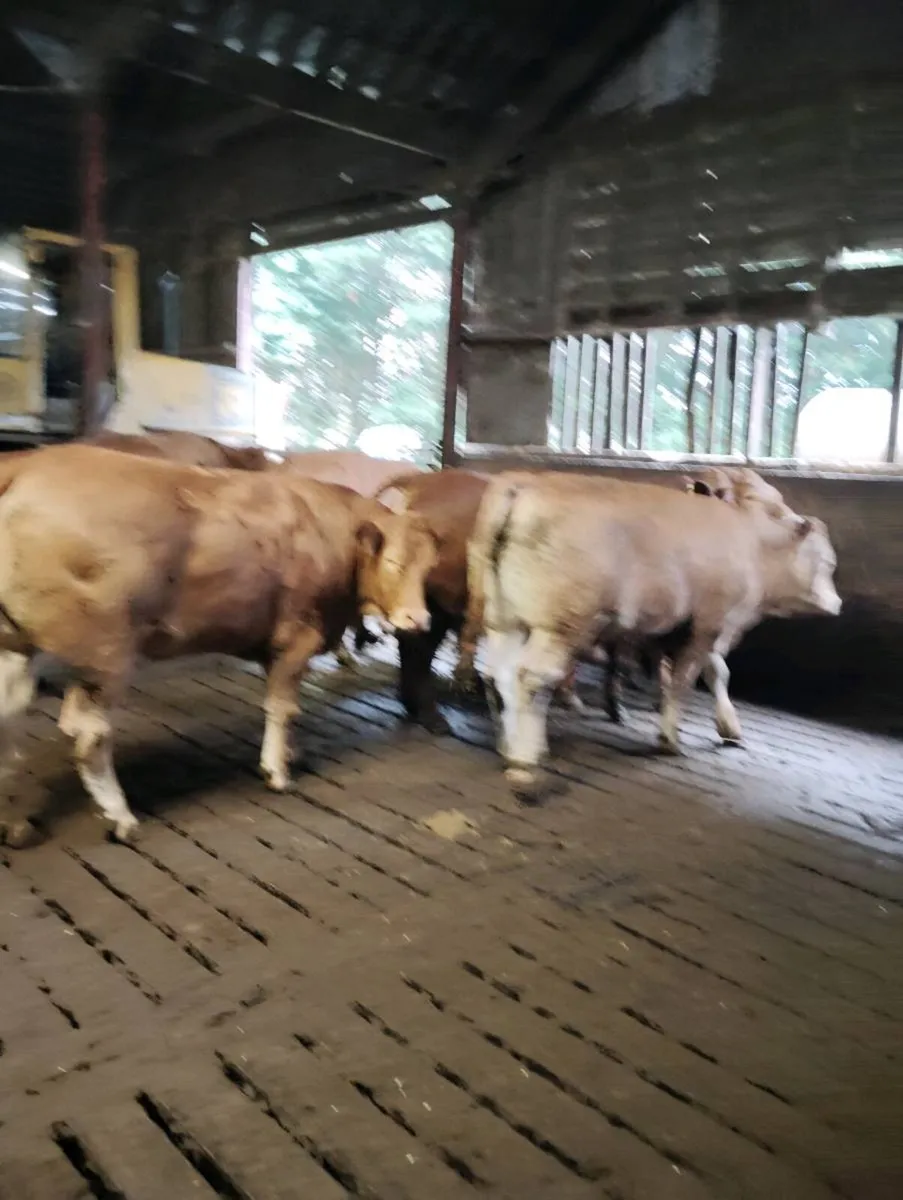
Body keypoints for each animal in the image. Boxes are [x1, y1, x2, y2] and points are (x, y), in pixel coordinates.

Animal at [0, 444, 438, 847]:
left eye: (427, 568)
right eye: (394, 563)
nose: (419, 620)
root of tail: (29, 464)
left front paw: (288, 754)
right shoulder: (297, 637)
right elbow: (282, 708)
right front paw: (277, 771)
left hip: (17, 644)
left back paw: (15, 825)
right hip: (106, 653)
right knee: (89, 733)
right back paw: (120, 816)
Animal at [468, 469, 841, 797]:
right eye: (828, 564)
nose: (837, 603)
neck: (753, 545)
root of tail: (522, 488)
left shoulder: (686, 628)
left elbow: (715, 672)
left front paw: (729, 727)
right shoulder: (709, 624)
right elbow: (684, 680)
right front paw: (670, 739)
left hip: (503, 618)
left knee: (499, 675)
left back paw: (509, 744)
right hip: (561, 624)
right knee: (532, 678)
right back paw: (525, 765)